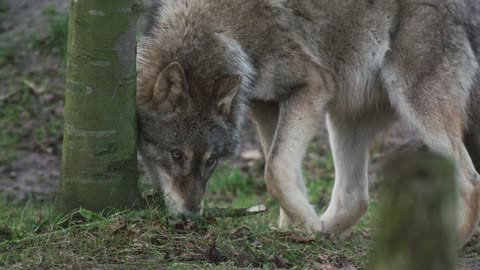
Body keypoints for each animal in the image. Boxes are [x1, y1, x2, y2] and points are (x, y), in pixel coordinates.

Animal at [136, 0, 480, 245]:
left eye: (211, 160)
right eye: (176, 155)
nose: (190, 217)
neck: (222, 30)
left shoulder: (314, 86)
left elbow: (273, 170)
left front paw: (305, 226)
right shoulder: (266, 106)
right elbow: (285, 172)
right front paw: (295, 229)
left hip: (415, 106)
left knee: (470, 178)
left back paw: (451, 241)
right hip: (344, 118)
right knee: (356, 199)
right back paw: (326, 231)